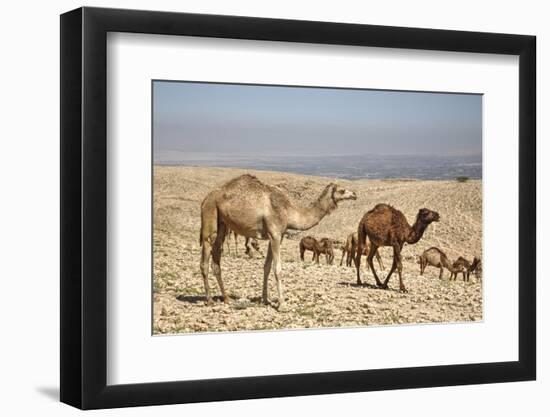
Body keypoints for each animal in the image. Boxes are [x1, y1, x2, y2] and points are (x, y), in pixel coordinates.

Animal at [202, 174, 358, 308]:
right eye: (342, 190)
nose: (354, 195)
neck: (289, 212)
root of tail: (206, 198)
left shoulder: (277, 236)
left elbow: (266, 267)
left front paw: (265, 299)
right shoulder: (275, 233)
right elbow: (277, 268)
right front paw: (282, 304)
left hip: (222, 223)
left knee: (216, 256)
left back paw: (226, 298)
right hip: (210, 214)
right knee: (205, 255)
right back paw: (209, 300)